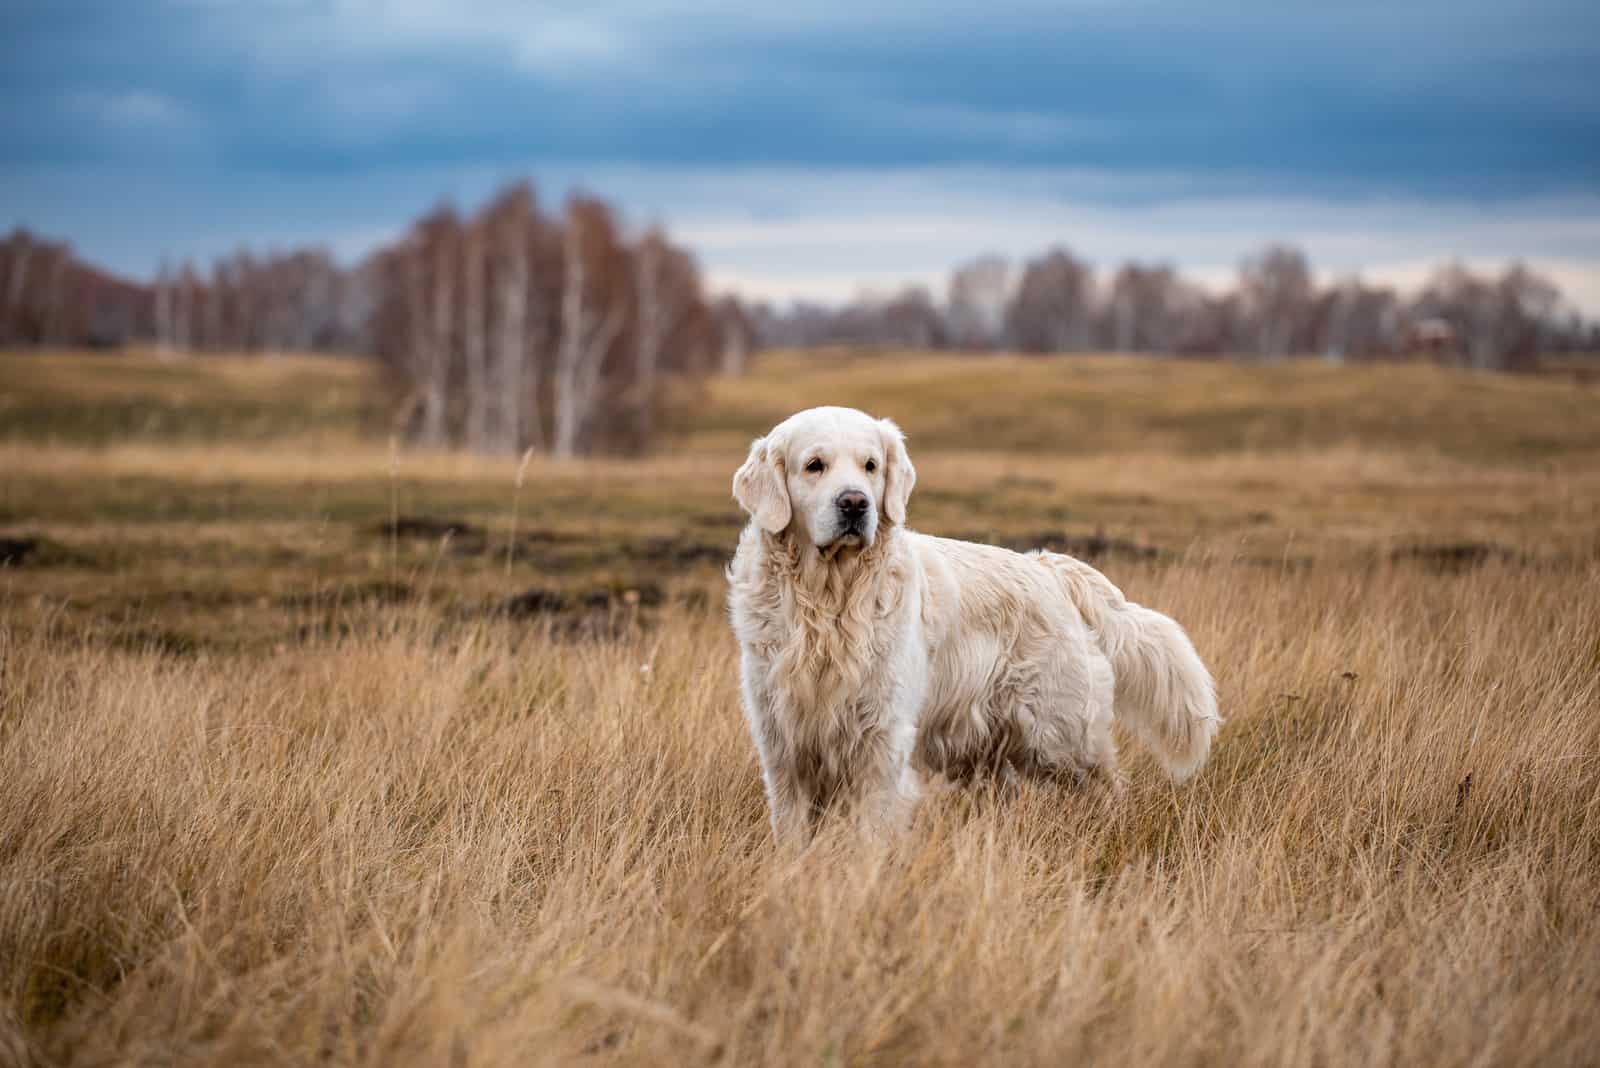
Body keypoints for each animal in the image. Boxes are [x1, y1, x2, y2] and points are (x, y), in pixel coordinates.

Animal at [729, 404, 1222, 844]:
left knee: (1109, 785)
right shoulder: (783, 747)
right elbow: (793, 834)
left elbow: (870, 831)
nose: (855, 503)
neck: (829, 602)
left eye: (871, 466)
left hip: (1059, 737)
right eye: (814, 466)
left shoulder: (881, 740)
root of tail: (1049, 569)